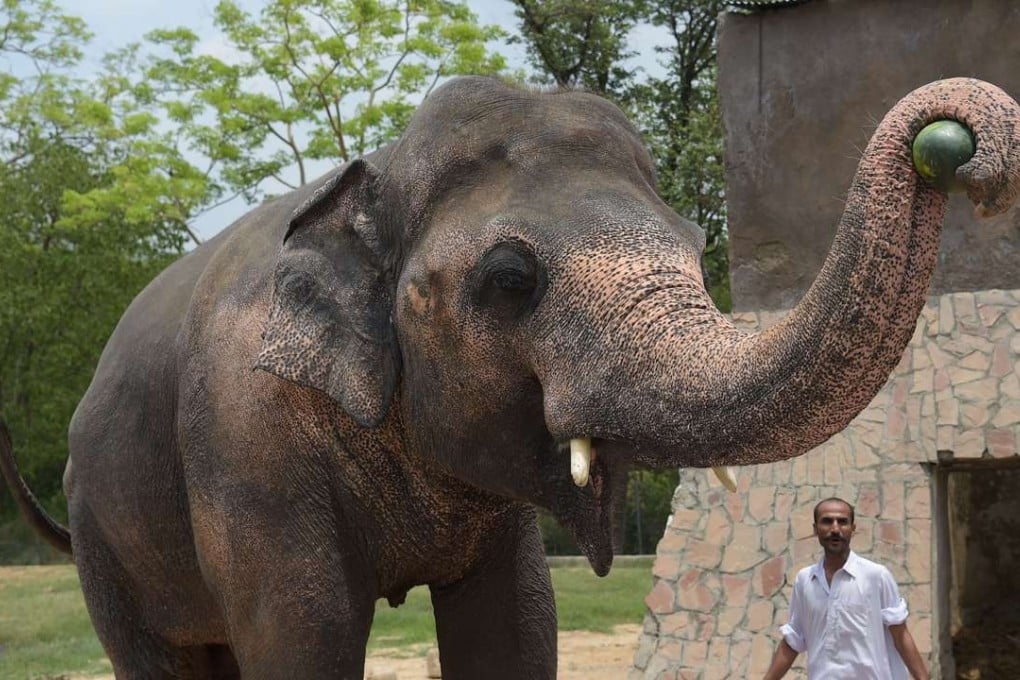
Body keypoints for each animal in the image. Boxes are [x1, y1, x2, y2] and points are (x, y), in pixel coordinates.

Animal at [2, 75, 1020, 679]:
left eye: (698, 248)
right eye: (509, 280)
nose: (960, 153)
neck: (372, 176)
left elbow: (518, 626)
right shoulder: (247, 444)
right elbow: (305, 633)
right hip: (105, 529)